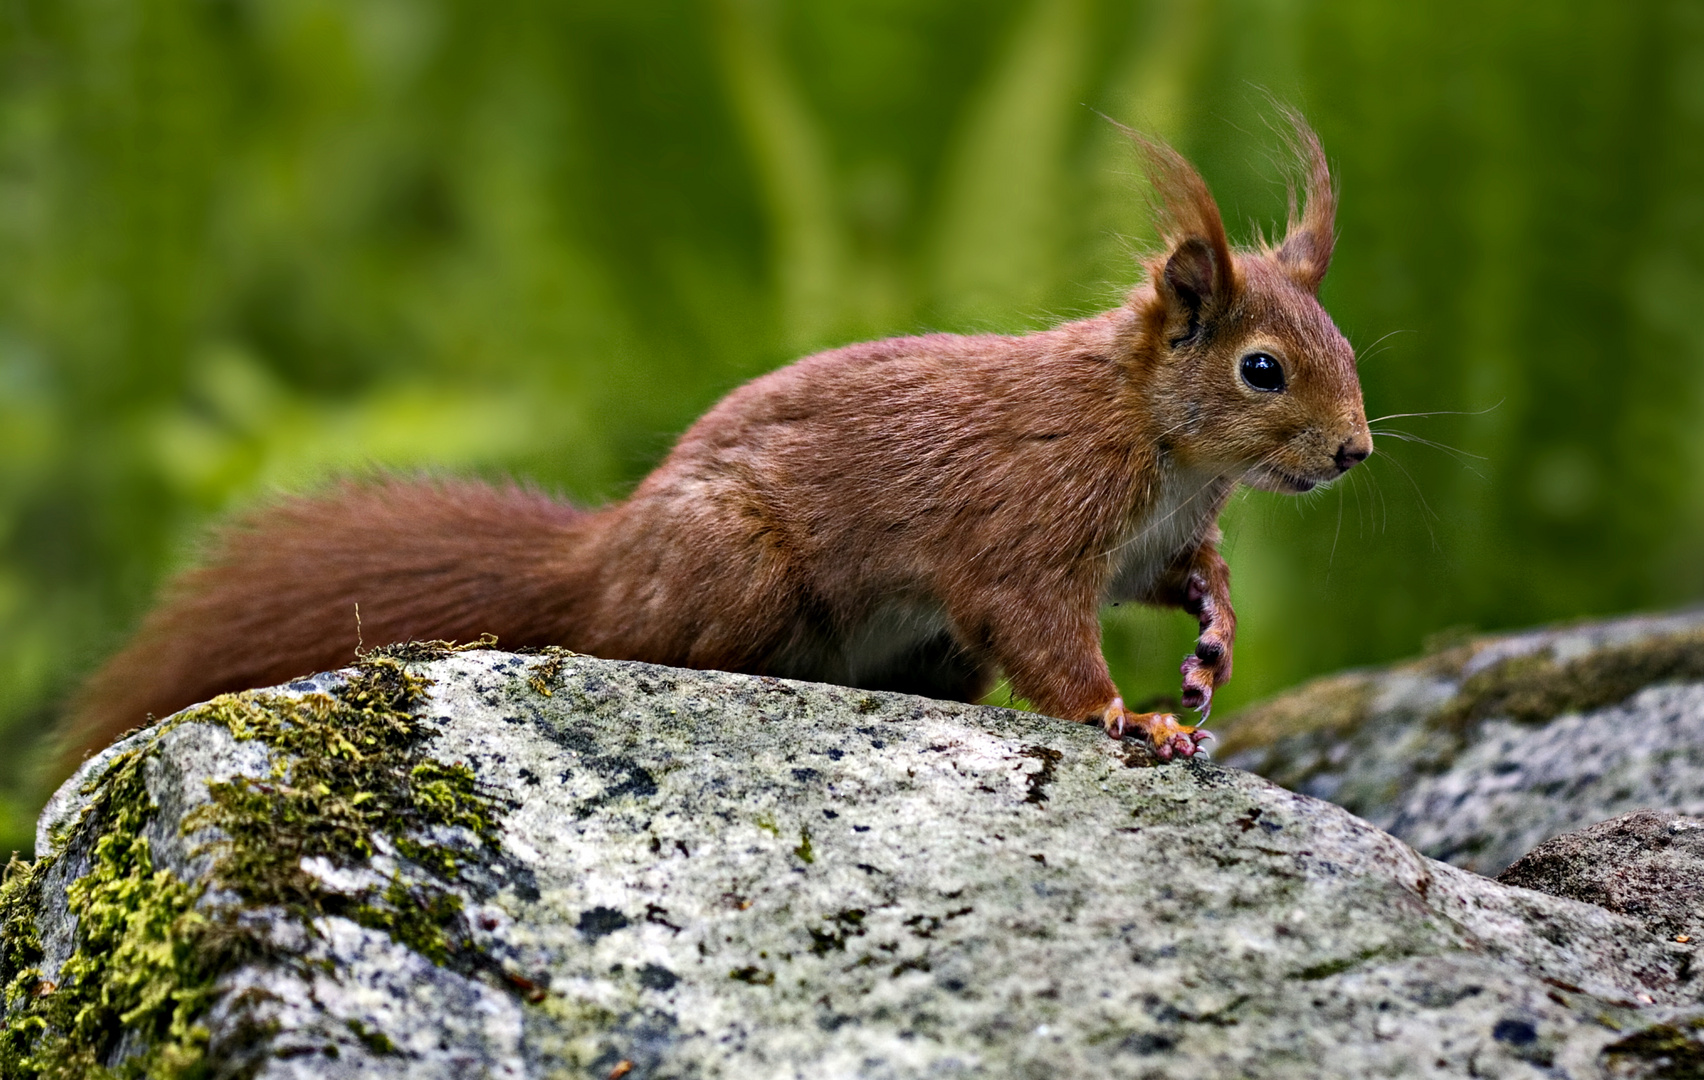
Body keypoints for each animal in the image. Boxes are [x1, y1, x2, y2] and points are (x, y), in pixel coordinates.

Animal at [60, 115, 1370, 766]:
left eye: (1346, 345)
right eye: (1262, 369)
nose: (1355, 452)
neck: (1165, 449)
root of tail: (600, 564)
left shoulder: (1155, 541)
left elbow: (1186, 581)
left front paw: (1213, 641)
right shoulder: (1027, 517)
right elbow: (1045, 633)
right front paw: (1127, 716)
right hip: (738, 566)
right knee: (652, 648)